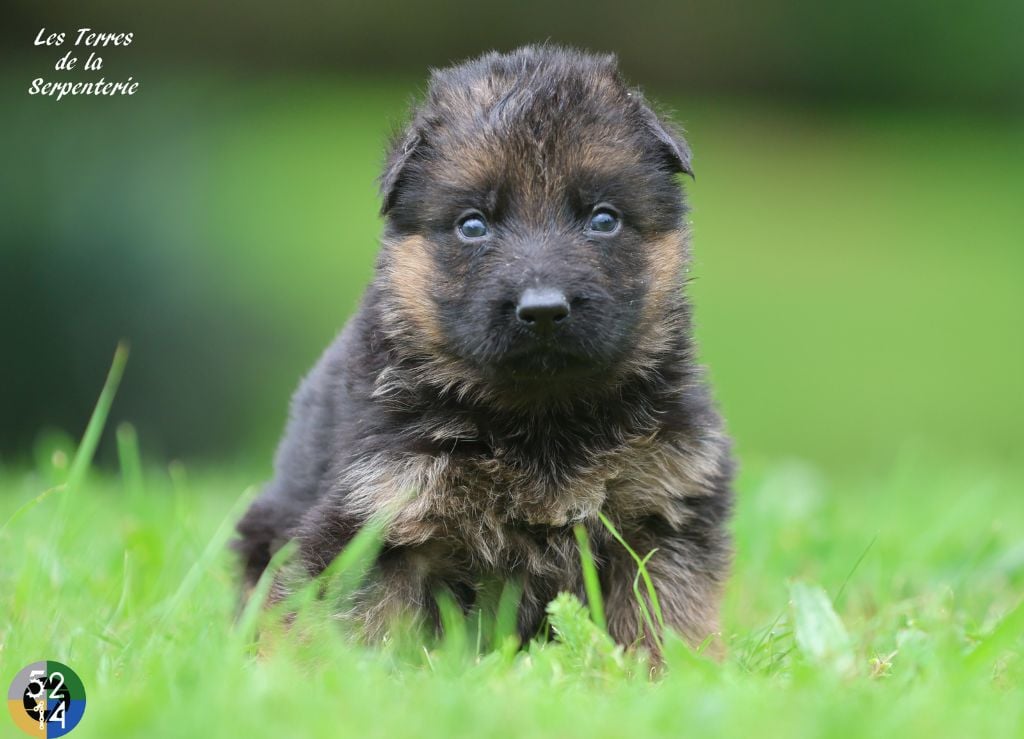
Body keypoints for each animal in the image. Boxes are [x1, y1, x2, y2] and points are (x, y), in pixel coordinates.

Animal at [237, 44, 737, 650]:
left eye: (603, 219)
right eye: (473, 225)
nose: (542, 309)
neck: (543, 420)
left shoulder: (664, 511)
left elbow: (662, 617)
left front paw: (664, 668)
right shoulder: (377, 515)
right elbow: (350, 625)